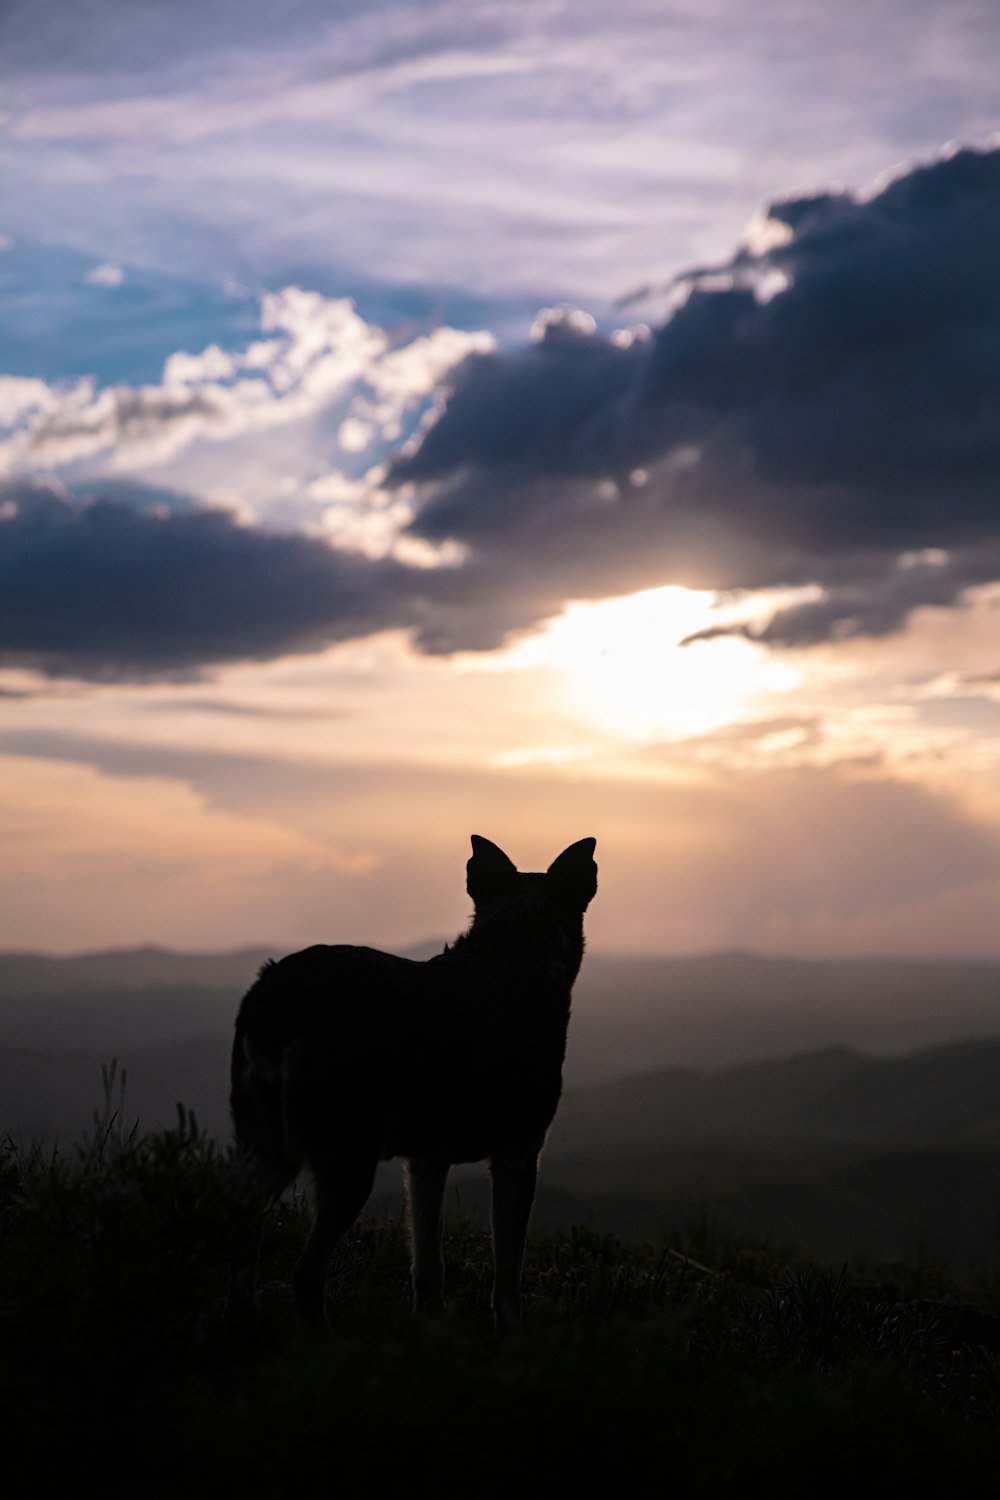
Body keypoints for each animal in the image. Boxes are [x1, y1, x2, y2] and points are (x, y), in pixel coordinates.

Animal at [230, 840, 599, 1332]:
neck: (514, 954)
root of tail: (277, 993)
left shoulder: (427, 1160)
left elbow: (427, 1261)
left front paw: (431, 1323)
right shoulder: (518, 1155)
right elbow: (508, 1268)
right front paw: (511, 1331)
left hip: (268, 1149)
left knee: (241, 1239)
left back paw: (246, 1323)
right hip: (348, 1163)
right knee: (305, 1274)